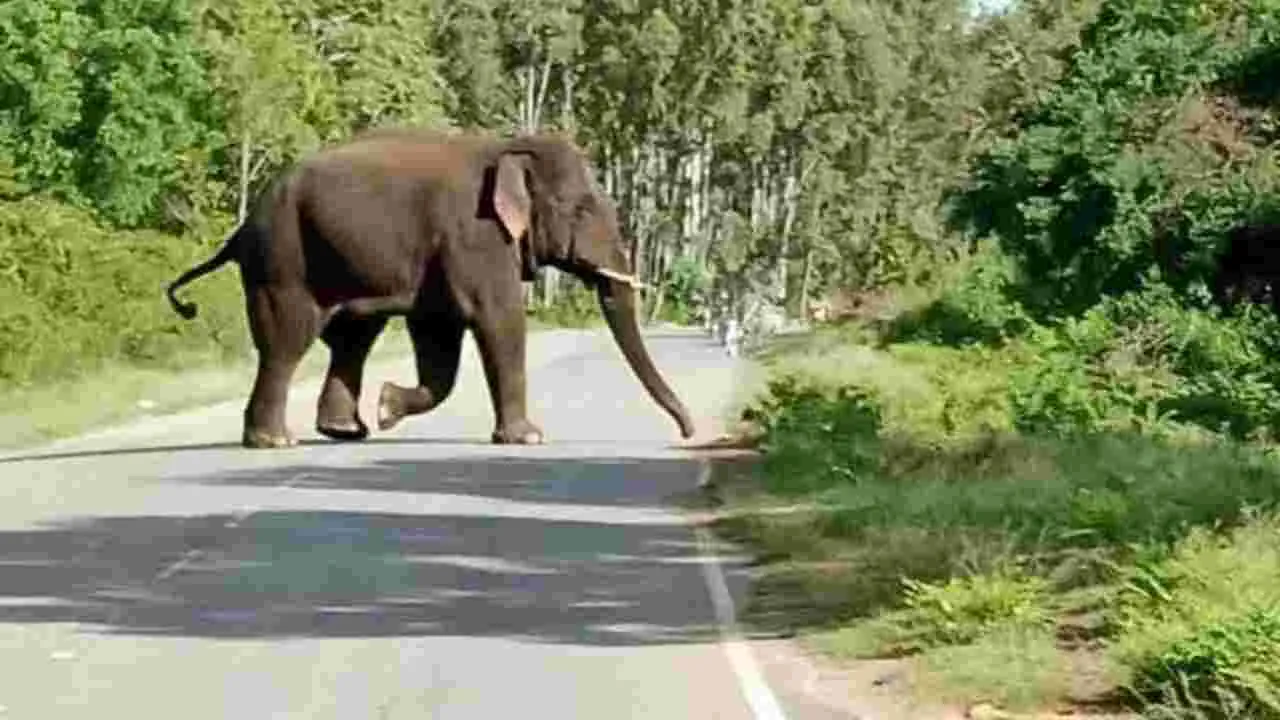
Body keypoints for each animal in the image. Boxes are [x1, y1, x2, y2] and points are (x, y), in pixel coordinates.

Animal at [165, 129, 696, 449]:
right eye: (582, 209)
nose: (688, 433)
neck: (507, 144)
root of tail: (241, 229)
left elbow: (439, 337)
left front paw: (386, 407)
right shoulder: (475, 236)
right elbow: (498, 318)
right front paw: (529, 439)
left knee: (353, 339)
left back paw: (346, 431)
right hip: (284, 263)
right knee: (287, 342)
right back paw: (278, 442)